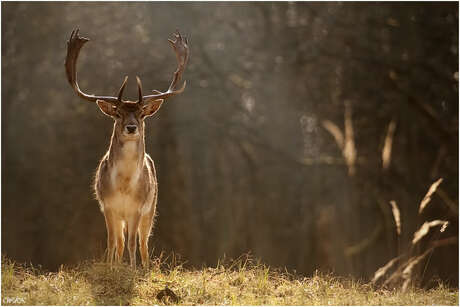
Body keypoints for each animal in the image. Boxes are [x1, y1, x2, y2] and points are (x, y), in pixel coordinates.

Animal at [64, 28, 189, 270]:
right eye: (118, 113)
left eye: (141, 114)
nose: (131, 127)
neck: (123, 186)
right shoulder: (107, 206)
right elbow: (112, 242)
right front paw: (111, 268)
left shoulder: (138, 208)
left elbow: (133, 243)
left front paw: (131, 269)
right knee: (120, 241)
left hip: (152, 208)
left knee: (142, 242)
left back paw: (145, 266)